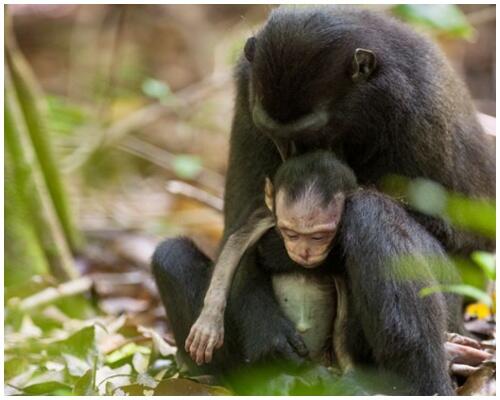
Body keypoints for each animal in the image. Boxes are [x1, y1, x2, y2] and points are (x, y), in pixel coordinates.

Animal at [185, 150, 356, 366]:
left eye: (319, 237)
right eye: (291, 234)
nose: (304, 252)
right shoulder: (265, 218)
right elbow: (235, 245)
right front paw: (210, 320)